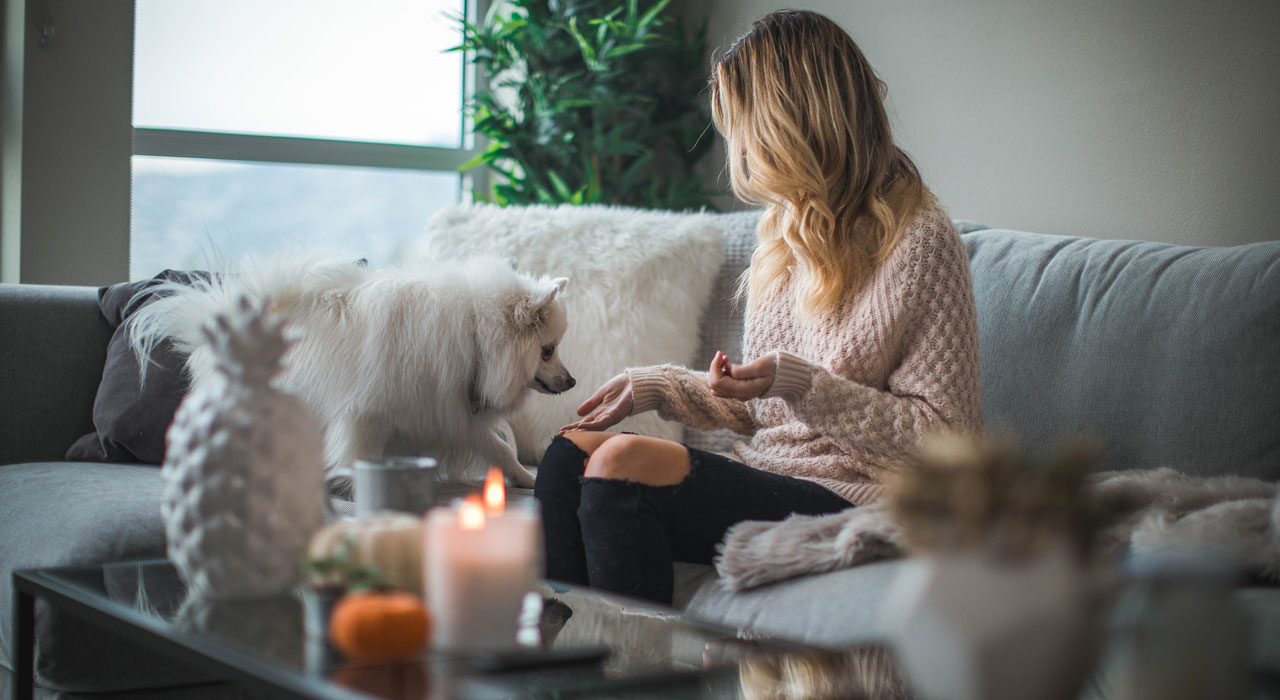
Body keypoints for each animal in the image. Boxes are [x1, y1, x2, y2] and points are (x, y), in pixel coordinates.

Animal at [127, 254, 573, 491]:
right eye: (548, 351)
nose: (571, 381)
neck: (474, 335)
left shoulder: (450, 412)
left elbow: (499, 448)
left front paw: (525, 478)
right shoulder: (366, 415)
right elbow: (360, 455)